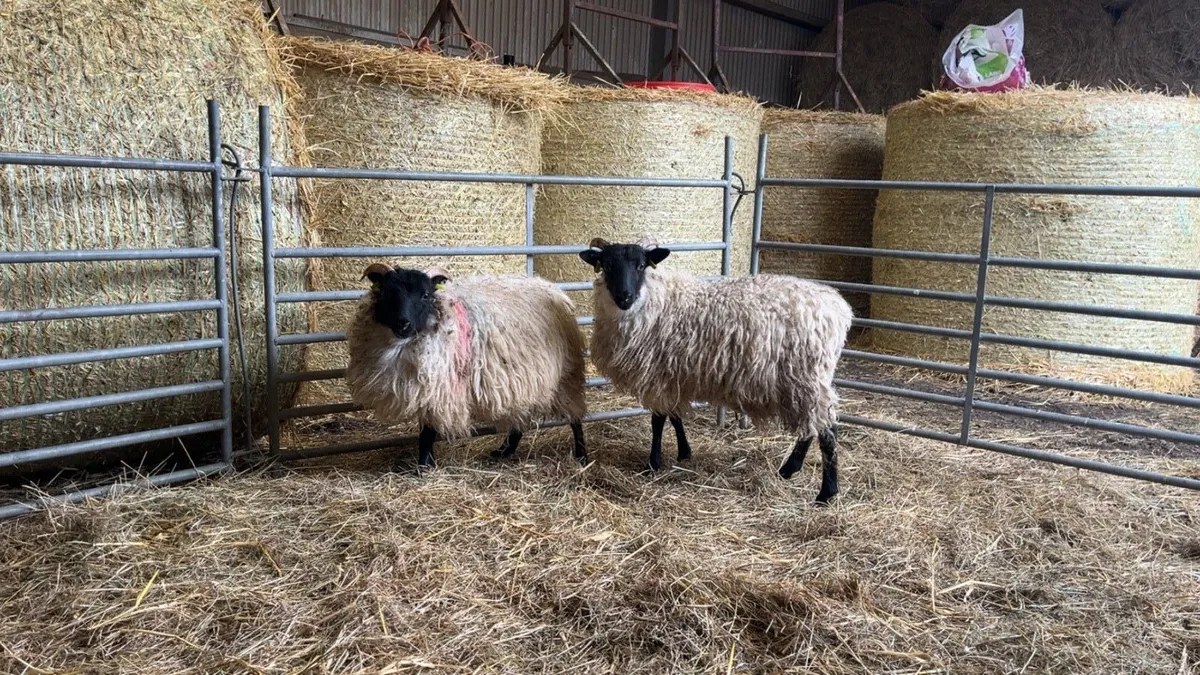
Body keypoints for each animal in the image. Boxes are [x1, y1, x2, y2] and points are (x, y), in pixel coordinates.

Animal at [345, 262, 589, 468]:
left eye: (425, 295)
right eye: (387, 294)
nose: (403, 324)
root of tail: (551, 288)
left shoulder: (439, 390)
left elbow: (427, 432)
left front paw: (424, 466)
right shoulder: (425, 389)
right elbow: (424, 429)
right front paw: (426, 462)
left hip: (565, 377)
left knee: (575, 418)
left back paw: (582, 456)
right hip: (521, 379)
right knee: (520, 419)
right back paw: (505, 450)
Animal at [579, 238, 853, 504]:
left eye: (641, 266)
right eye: (607, 266)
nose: (624, 297)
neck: (655, 301)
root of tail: (840, 309)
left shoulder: (657, 375)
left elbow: (658, 422)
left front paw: (653, 463)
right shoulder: (672, 375)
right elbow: (675, 416)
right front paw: (684, 452)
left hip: (807, 376)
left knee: (827, 430)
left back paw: (826, 493)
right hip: (801, 382)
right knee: (811, 427)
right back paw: (789, 469)